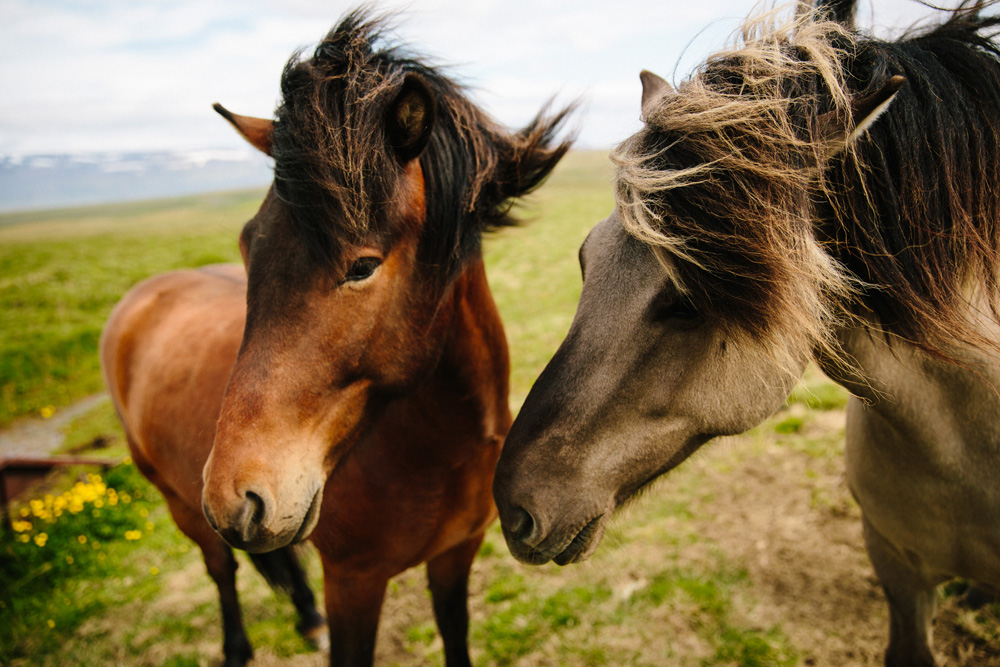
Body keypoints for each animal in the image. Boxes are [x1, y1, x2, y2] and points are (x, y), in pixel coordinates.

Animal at [105, 10, 572, 667]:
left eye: (362, 267)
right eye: (247, 247)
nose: (235, 497)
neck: (436, 450)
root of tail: (144, 294)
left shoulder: (455, 556)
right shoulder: (354, 581)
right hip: (178, 503)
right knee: (222, 570)